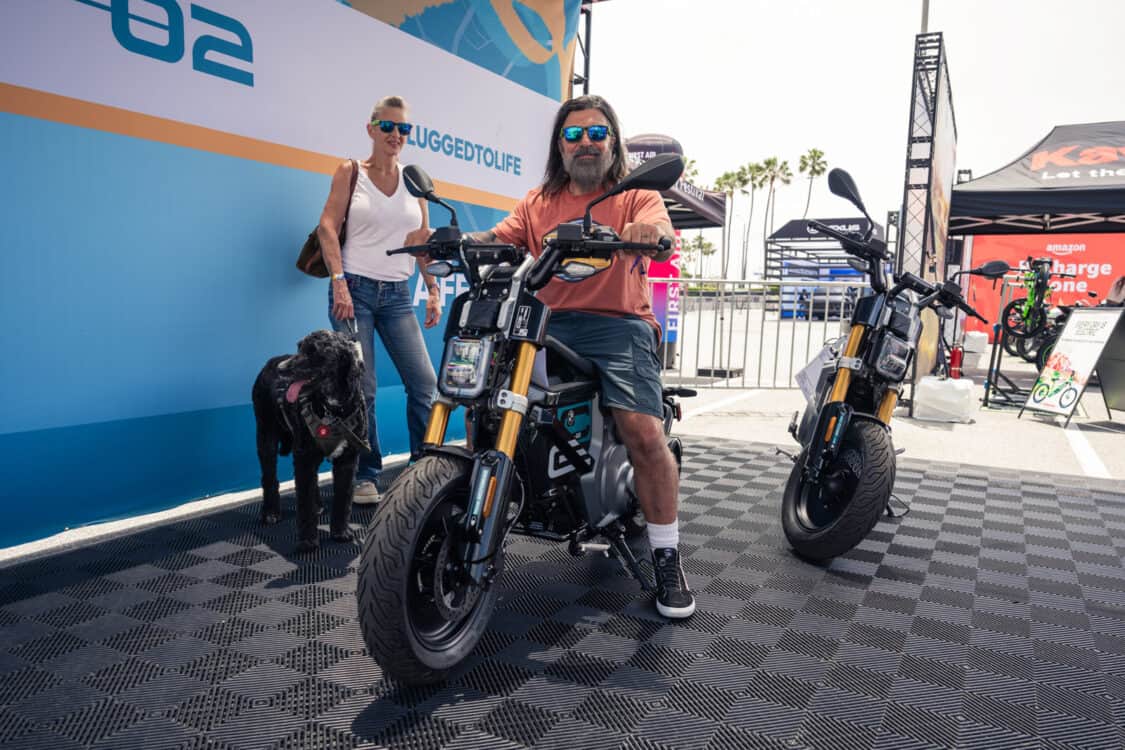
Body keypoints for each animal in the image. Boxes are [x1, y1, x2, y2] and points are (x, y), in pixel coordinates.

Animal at [252, 328, 369, 550]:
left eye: (314, 351)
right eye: (298, 347)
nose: (281, 369)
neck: (333, 410)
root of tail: (268, 363)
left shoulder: (347, 459)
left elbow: (343, 497)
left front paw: (340, 532)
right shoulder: (304, 456)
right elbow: (303, 499)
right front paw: (307, 541)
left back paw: (318, 506)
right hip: (266, 435)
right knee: (269, 477)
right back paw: (270, 512)